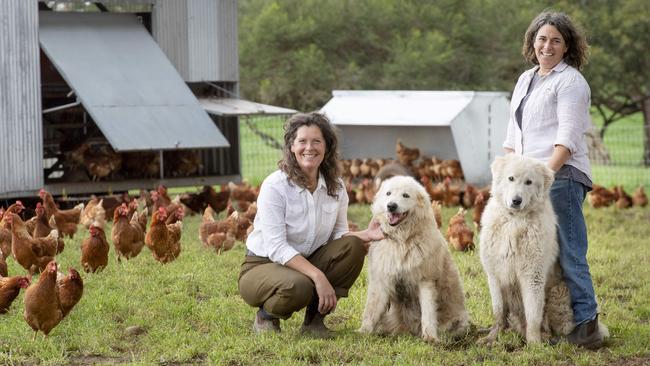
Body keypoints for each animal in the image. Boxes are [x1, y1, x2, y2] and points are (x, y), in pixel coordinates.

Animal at [356, 176, 468, 342]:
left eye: (405, 195)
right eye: (388, 193)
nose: (391, 206)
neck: (402, 241)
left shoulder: (425, 281)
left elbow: (428, 313)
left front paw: (430, 338)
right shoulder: (381, 281)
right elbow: (371, 311)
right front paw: (363, 332)